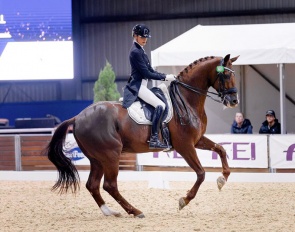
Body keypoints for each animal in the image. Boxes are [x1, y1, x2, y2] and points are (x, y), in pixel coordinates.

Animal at [46, 54, 240, 218]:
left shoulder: (197, 140)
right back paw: (135, 211)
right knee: (110, 185)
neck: (186, 99)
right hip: (111, 155)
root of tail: (78, 117)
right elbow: (201, 173)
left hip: (97, 159)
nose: (233, 101)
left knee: (93, 185)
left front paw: (222, 179)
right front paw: (184, 201)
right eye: (225, 75)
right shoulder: (185, 145)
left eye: (234, 74)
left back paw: (110, 211)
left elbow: (221, 150)